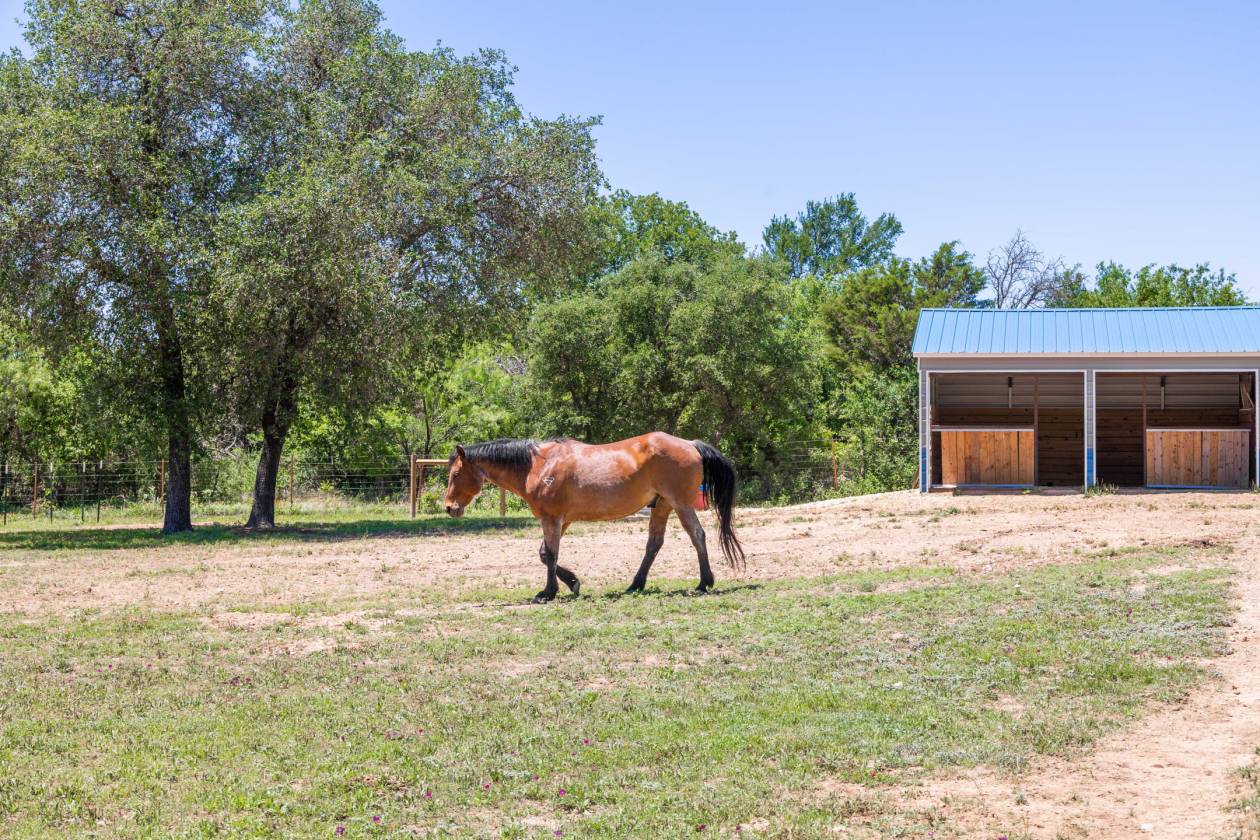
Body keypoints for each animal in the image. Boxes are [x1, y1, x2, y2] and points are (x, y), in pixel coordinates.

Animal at [441, 433, 745, 602]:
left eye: (455, 474)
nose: (449, 507)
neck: (538, 466)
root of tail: (691, 444)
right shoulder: (562, 520)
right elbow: (545, 554)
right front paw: (572, 583)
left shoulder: (551, 518)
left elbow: (550, 554)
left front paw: (547, 592)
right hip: (662, 506)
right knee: (654, 544)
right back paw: (635, 585)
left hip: (681, 505)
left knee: (697, 536)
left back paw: (704, 583)